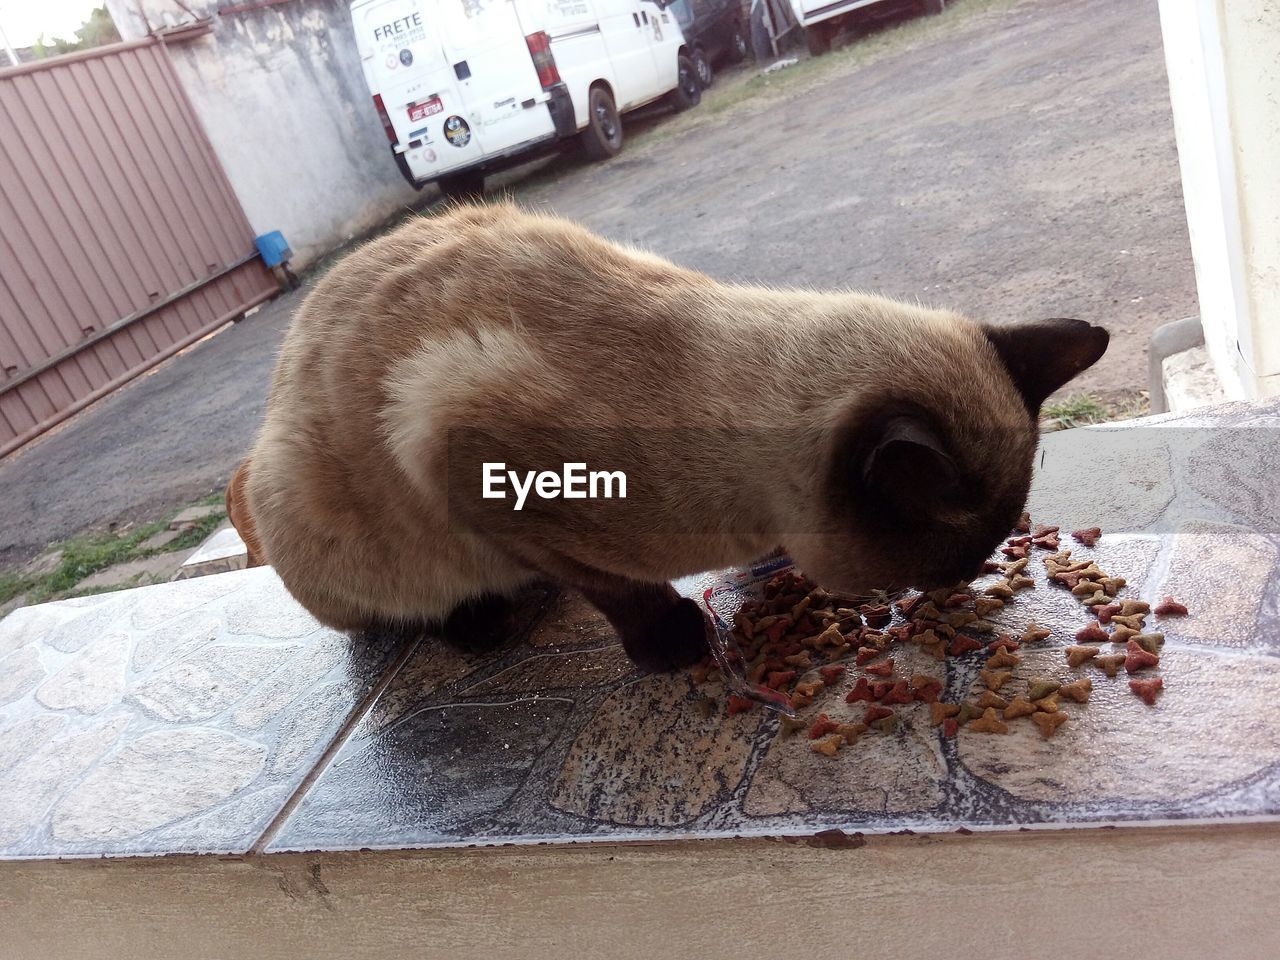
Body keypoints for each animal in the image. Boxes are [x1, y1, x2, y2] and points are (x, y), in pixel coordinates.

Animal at [232, 204, 1111, 670]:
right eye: (952, 557)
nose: (964, 582)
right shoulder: (467, 453)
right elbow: (618, 587)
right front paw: (674, 642)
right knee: (405, 612)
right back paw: (481, 618)